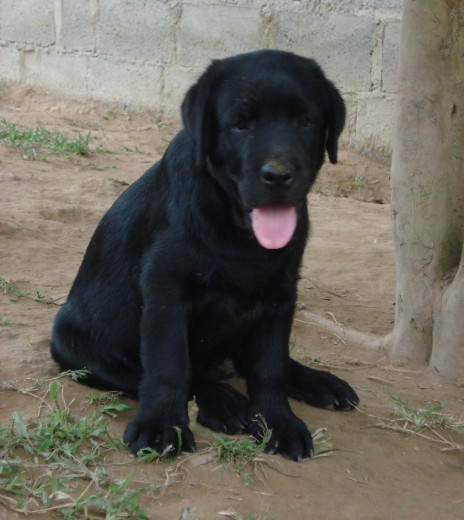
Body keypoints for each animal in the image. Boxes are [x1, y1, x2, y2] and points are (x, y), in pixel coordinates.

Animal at [53, 49, 358, 460]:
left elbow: (270, 365)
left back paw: (319, 382)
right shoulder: (165, 289)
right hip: (72, 346)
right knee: (149, 372)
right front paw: (162, 425)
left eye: (306, 121)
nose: (278, 175)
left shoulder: (280, 294)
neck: (236, 228)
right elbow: (168, 365)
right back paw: (222, 402)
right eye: (240, 125)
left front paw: (277, 421)